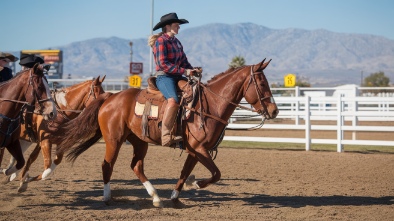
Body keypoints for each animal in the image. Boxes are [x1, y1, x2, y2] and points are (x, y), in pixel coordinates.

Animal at [53, 59, 278, 207]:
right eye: (262, 83)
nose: (274, 110)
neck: (210, 105)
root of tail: (110, 97)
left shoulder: (194, 150)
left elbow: (185, 173)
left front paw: (176, 196)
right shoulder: (199, 149)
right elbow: (216, 173)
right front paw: (197, 184)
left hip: (139, 141)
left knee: (136, 166)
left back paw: (155, 197)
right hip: (114, 140)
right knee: (107, 165)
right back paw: (108, 198)